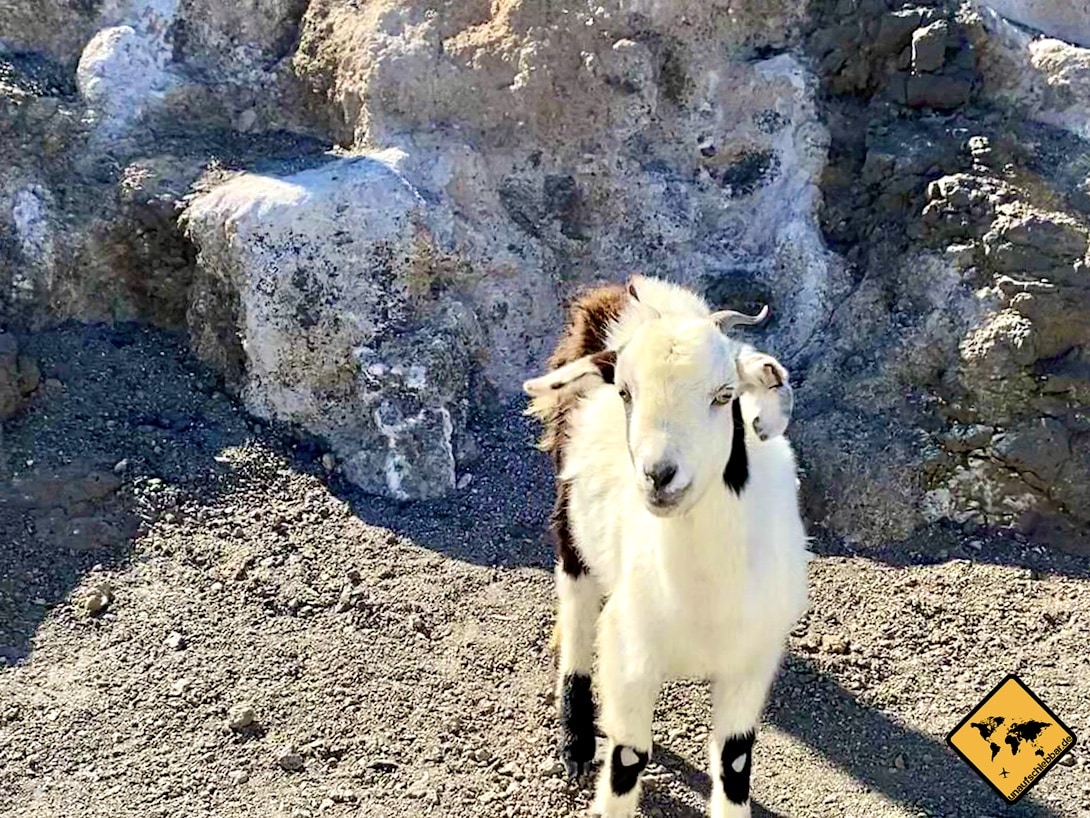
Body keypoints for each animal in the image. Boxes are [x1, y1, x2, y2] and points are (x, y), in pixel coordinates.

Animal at [523, 277, 815, 818]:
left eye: (725, 395)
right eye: (624, 393)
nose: (660, 475)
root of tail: (626, 291)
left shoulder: (753, 658)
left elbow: (735, 761)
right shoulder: (630, 652)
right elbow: (628, 758)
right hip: (569, 503)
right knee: (576, 597)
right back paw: (575, 739)